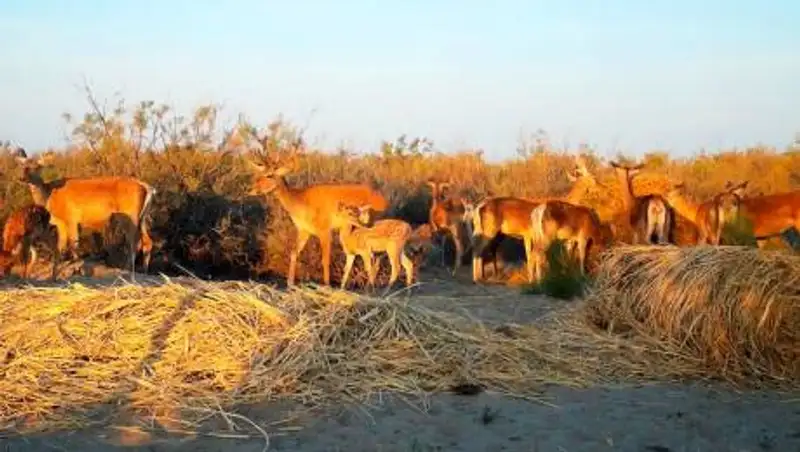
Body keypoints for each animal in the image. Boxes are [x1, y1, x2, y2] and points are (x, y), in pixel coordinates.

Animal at [15, 147, 156, 278]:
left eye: (37, 167)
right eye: (22, 166)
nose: (22, 178)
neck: (50, 196)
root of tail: (147, 187)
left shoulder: (71, 218)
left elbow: (74, 245)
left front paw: (77, 270)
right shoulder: (61, 223)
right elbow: (59, 248)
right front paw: (54, 276)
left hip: (130, 215)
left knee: (134, 241)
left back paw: (128, 270)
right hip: (142, 217)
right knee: (147, 241)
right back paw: (144, 271)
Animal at [248, 138, 390, 288]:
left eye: (269, 175)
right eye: (258, 174)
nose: (250, 189)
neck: (300, 203)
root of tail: (384, 201)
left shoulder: (324, 229)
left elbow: (325, 259)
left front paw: (326, 285)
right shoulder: (304, 230)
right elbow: (294, 253)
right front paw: (290, 283)